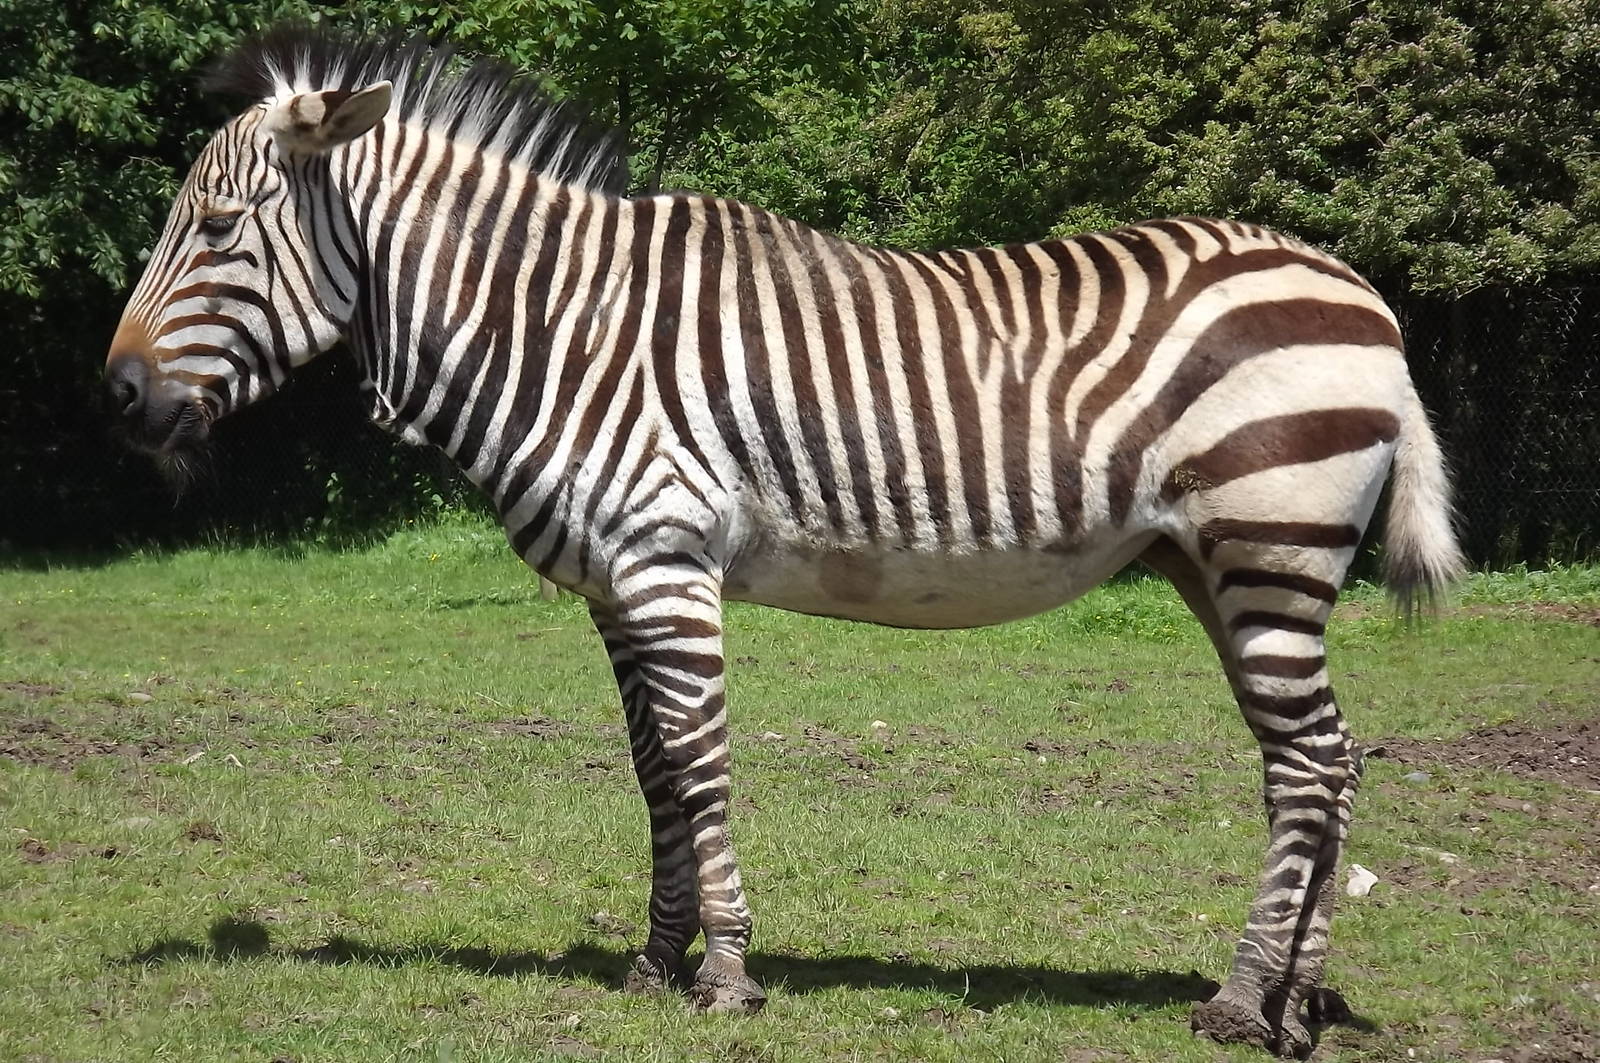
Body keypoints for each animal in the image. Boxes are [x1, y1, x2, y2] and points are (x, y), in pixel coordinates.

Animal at [105, 26, 1463, 1058]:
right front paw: (656, 961)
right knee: (1325, 766)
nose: (115, 397)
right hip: (1218, 565)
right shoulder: (617, 586)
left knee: (1310, 768)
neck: (560, 328)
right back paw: (1299, 999)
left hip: (1267, 545)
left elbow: (701, 766)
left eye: (215, 229)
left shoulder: (664, 564)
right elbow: (652, 772)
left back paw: (1242, 1003)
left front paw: (727, 976)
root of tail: (1360, 292)